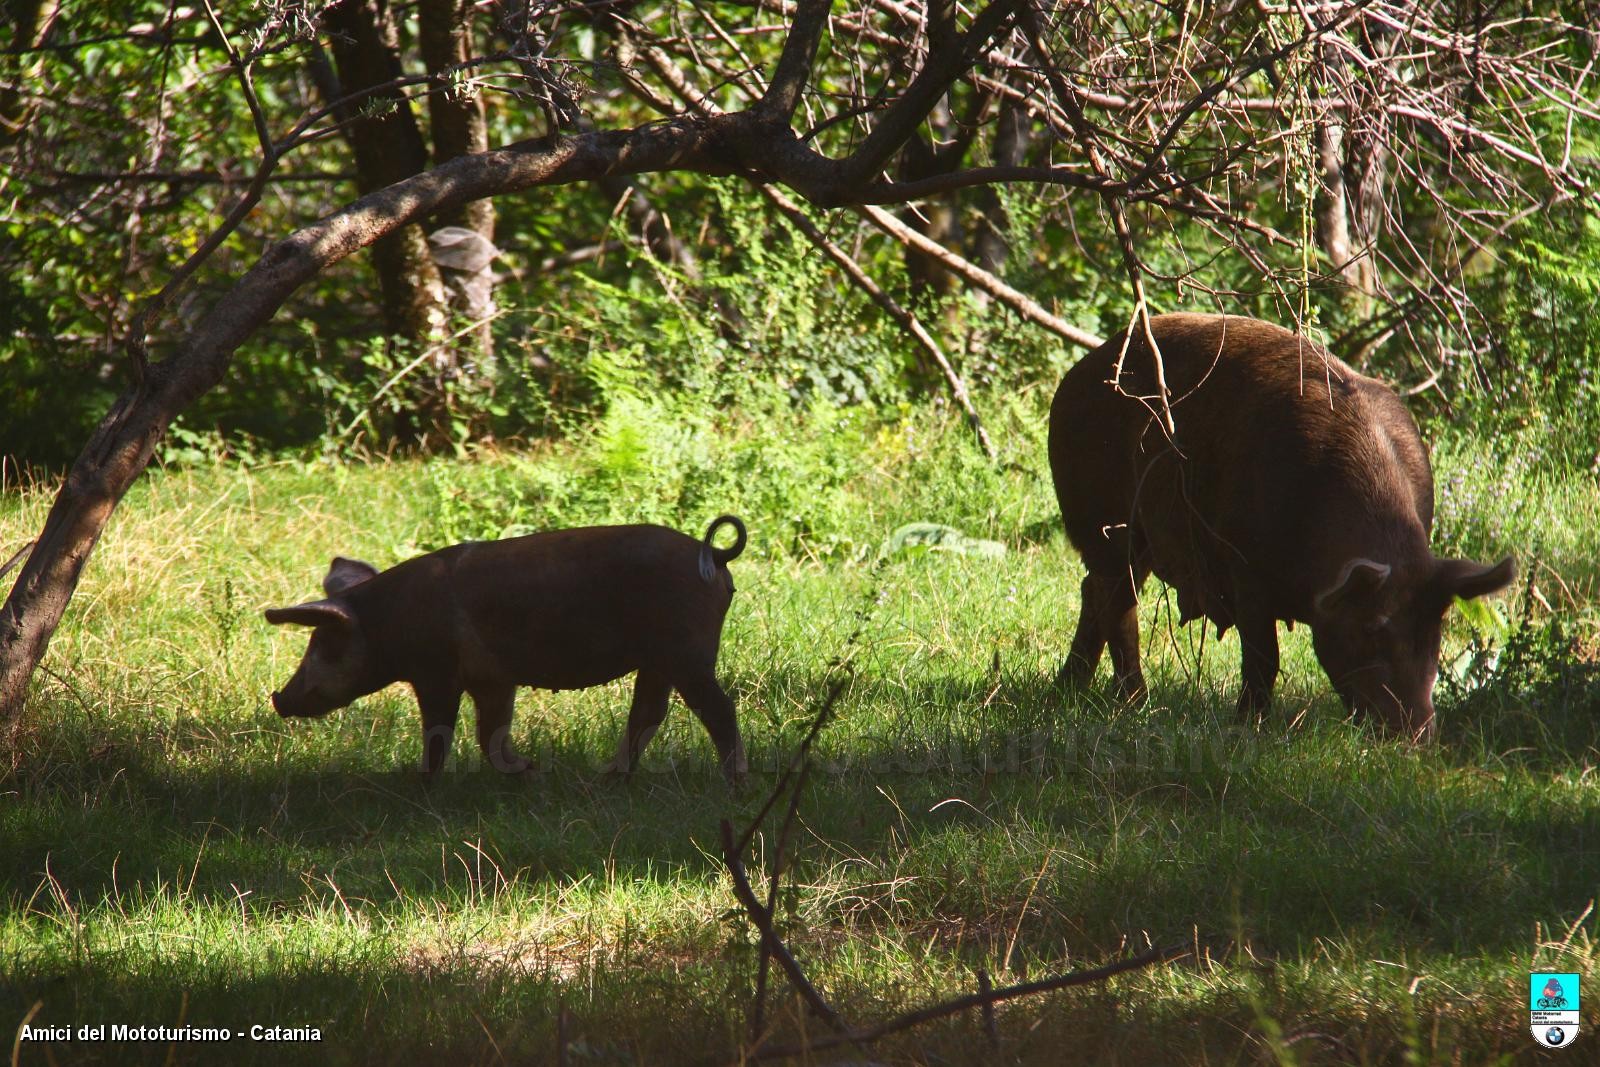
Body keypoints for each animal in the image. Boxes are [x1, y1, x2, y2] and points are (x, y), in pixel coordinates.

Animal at [265, 511, 752, 780]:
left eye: (323, 645)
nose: (278, 698)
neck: (387, 620)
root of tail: (715, 556)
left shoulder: (436, 673)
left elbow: (440, 733)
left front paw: (420, 781)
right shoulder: (493, 680)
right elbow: (491, 735)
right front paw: (530, 771)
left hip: (687, 650)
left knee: (717, 709)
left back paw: (734, 783)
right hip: (659, 659)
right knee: (649, 713)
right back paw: (611, 779)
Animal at [1049, 313, 1510, 739]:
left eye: (1435, 633)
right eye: (1372, 629)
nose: (1417, 736)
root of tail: (1080, 371)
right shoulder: (1244, 565)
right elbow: (1263, 654)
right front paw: (1249, 728)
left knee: (1096, 594)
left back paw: (1072, 692)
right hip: (1104, 519)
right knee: (1114, 598)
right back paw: (1131, 704)